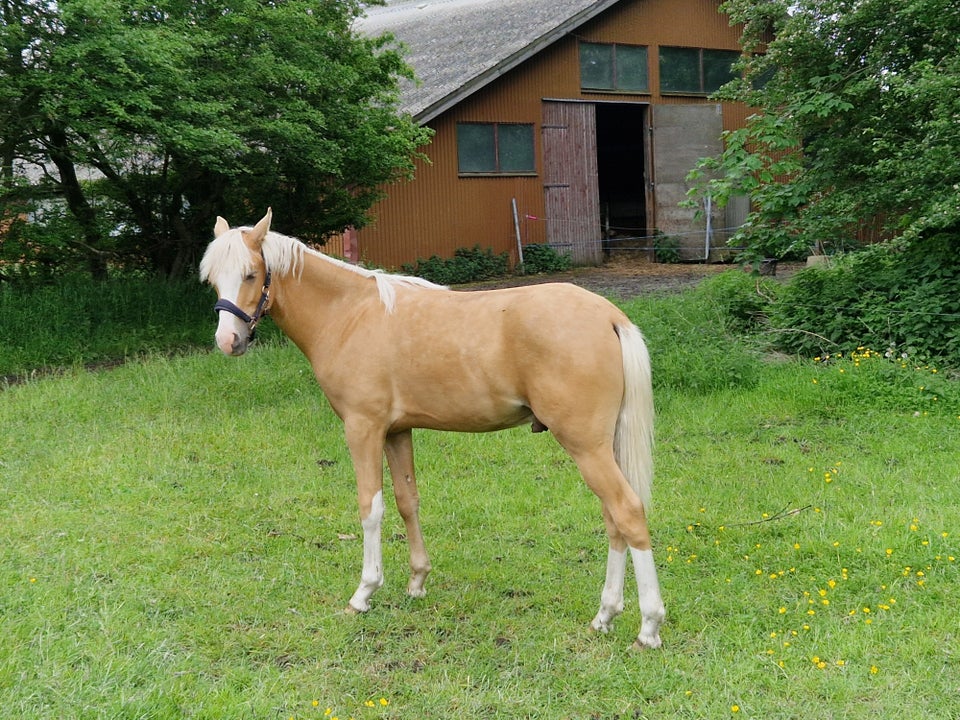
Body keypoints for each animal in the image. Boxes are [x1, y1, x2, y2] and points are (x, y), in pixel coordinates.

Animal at [201, 210, 668, 652]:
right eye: (213, 278)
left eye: (251, 274)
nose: (228, 341)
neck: (349, 314)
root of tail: (609, 316)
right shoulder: (396, 432)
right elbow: (407, 501)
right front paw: (417, 582)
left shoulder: (363, 428)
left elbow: (370, 508)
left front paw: (364, 593)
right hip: (602, 447)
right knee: (613, 520)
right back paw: (605, 616)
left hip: (585, 445)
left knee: (628, 511)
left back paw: (648, 628)